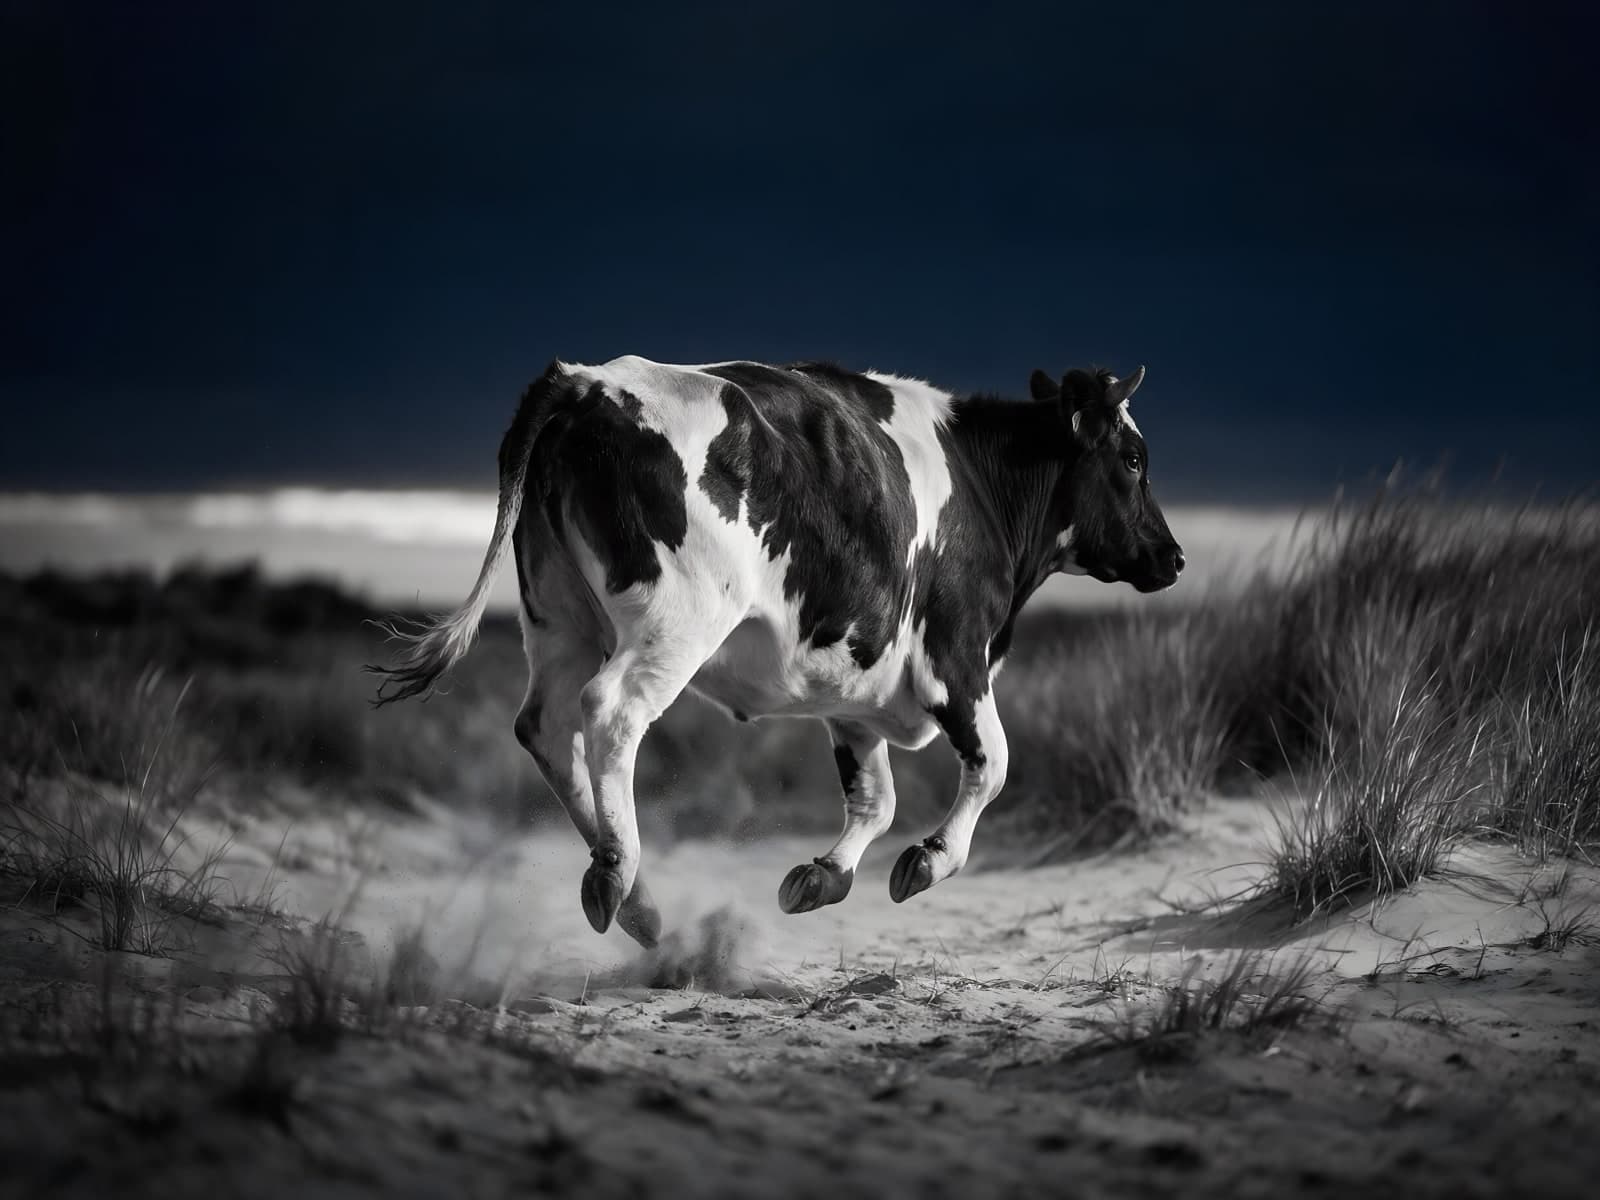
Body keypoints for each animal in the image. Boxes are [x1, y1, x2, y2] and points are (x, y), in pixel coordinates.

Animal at [371, 356, 1182, 948]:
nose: (1172, 558)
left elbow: (875, 798)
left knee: (544, 726)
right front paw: (928, 860)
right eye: (1133, 458)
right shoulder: (955, 657)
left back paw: (640, 902)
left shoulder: (855, 684)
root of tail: (584, 381)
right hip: (675, 620)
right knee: (610, 711)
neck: (983, 486)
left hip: (557, 616)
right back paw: (616, 873)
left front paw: (824, 876)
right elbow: (993, 765)